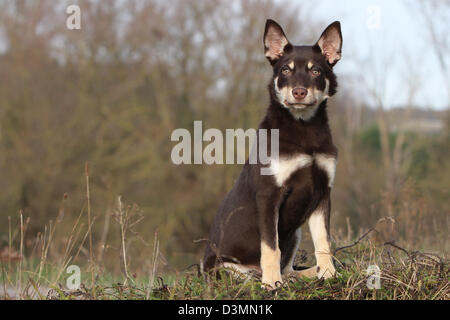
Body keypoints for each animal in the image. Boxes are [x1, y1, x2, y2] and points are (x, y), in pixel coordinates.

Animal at [202, 20, 342, 290]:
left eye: (316, 72)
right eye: (285, 70)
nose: (299, 92)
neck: (303, 127)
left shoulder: (323, 192)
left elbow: (323, 241)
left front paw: (329, 274)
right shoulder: (270, 195)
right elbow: (270, 247)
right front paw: (271, 283)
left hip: (295, 232)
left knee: (289, 269)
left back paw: (311, 272)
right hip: (226, 268)